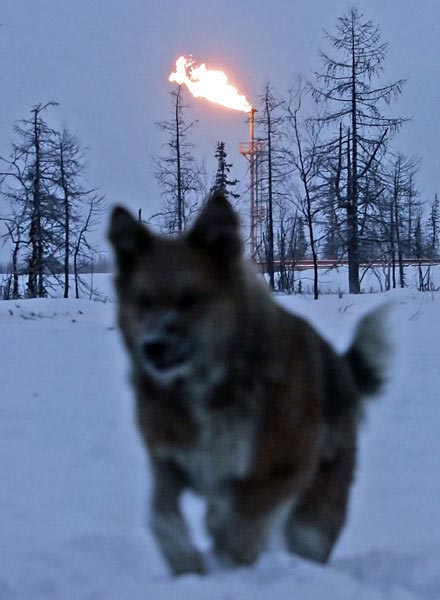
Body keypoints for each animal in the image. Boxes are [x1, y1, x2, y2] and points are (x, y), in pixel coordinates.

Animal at [109, 192, 388, 576]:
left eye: (189, 299)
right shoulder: (169, 461)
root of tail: (341, 367)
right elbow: (161, 517)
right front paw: (186, 564)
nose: (152, 346)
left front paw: (226, 567)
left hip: (317, 508)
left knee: (307, 534)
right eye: (143, 301)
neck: (208, 383)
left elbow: (241, 527)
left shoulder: (280, 468)